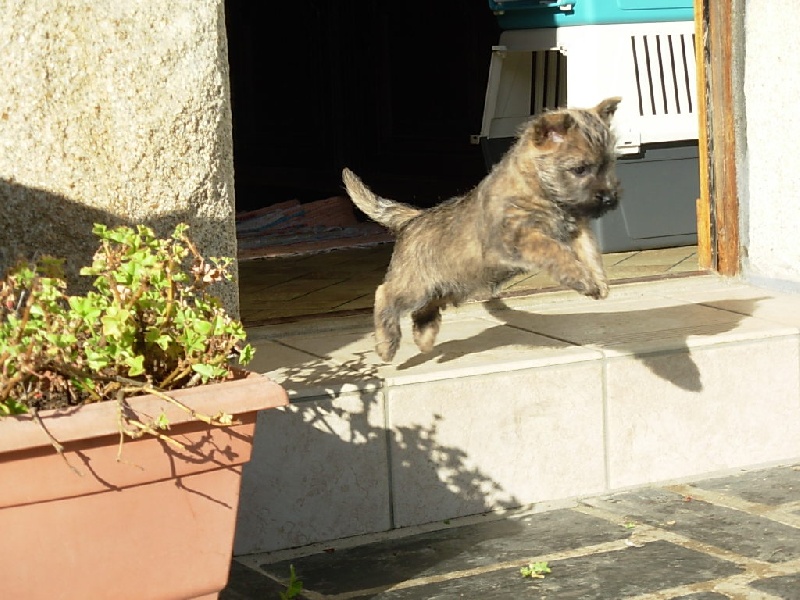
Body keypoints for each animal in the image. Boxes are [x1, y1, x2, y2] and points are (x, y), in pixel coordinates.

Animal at [340, 97, 620, 360]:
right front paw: (582, 279)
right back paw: (387, 345)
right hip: (415, 284)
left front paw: (599, 281)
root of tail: (415, 218)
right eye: (580, 169)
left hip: (445, 286)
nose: (610, 198)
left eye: (609, 164)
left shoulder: (577, 230)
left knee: (424, 310)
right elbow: (555, 251)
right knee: (384, 293)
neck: (539, 190)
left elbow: (590, 253)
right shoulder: (519, 237)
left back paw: (424, 337)